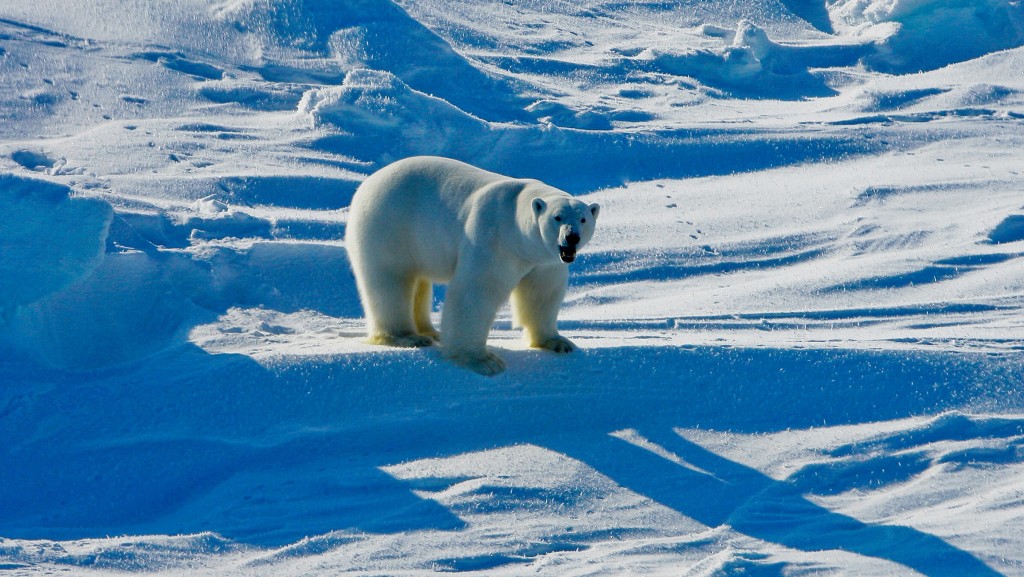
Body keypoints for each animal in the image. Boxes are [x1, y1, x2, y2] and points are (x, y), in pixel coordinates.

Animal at [346, 155, 598, 377]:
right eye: (557, 217)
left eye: (583, 219)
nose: (571, 237)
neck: (515, 227)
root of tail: (368, 183)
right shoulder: (493, 240)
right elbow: (475, 293)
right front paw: (484, 361)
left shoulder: (545, 261)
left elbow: (542, 294)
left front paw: (558, 342)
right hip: (389, 225)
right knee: (391, 281)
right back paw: (408, 337)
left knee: (418, 282)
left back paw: (431, 332)